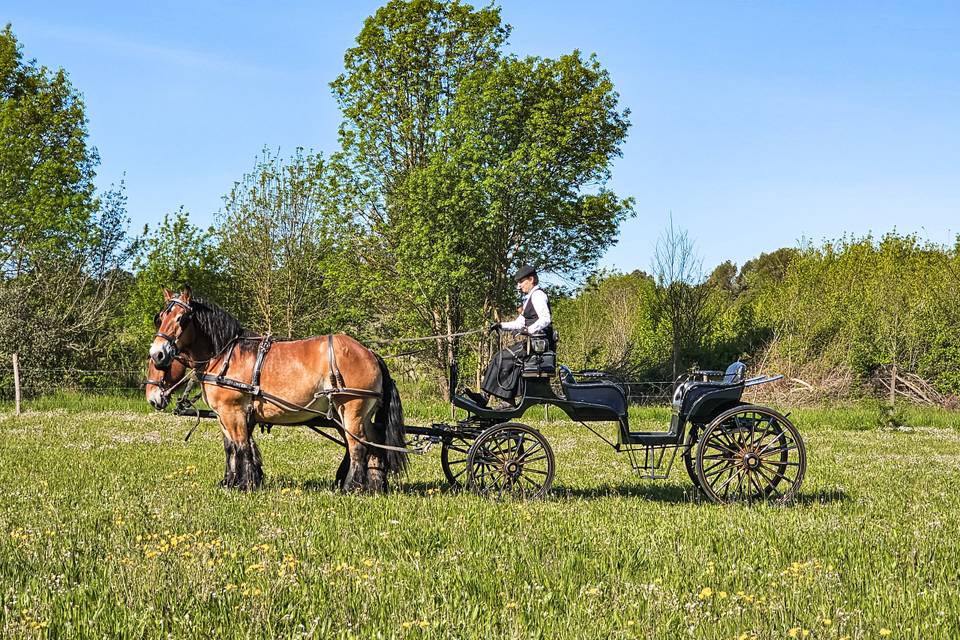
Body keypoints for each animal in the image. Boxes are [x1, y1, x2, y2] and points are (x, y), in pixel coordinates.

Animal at [148, 286, 406, 493]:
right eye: (160, 318)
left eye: (181, 318)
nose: (157, 353)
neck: (225, 355)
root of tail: (370, 353)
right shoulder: (225, 415)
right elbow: (231, 448)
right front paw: (231, 482)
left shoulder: (234, 412)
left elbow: (242, 447)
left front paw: (245, 484)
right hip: (355, 415)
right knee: (374, 446)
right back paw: (375, 485)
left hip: (352, 410)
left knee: (358, 448)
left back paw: (351, 488)